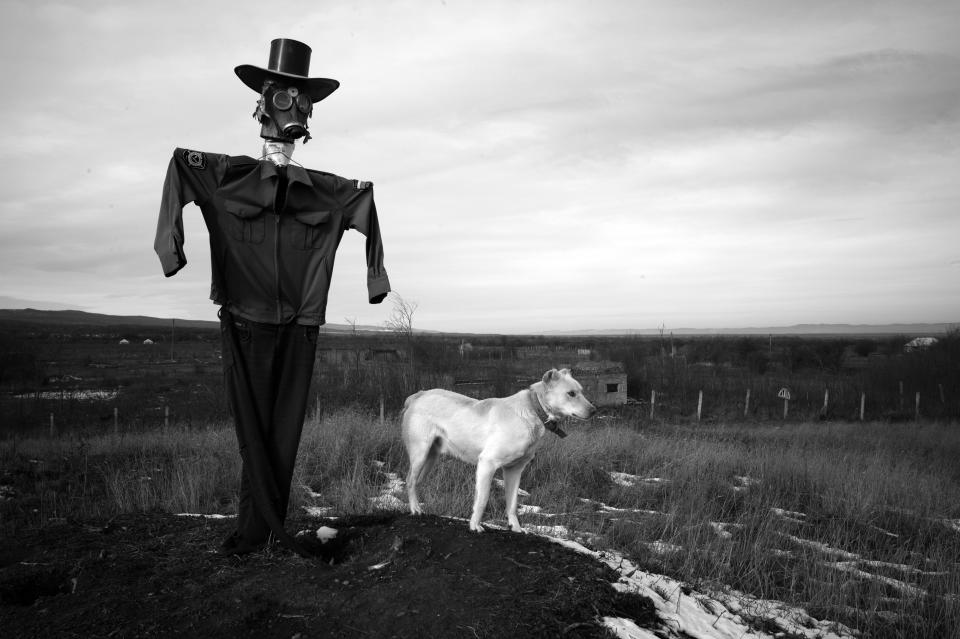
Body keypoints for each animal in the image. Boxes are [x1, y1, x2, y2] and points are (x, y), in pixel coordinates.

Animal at [402, 368, 596, 532]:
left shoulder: (514, 470)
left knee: (415, 482)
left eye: (581, 391)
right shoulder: (487, 464)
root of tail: (418, 395)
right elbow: (482, 499)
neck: (533, 410)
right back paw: (415, 509)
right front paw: (474, 525)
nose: (594, 411)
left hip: (431, 458)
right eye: (571, 393)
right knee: (410, 480)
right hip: (420, 454)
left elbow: (512, 503)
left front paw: (516, 528)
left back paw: (417, 507)